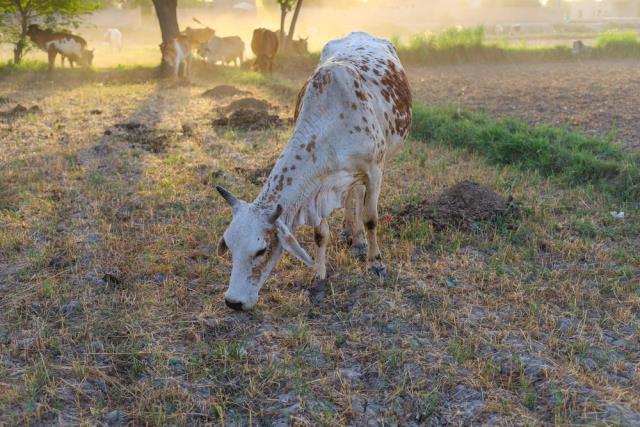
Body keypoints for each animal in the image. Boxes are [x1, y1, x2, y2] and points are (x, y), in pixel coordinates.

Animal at [218, 30, 412, 310]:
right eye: (230, 246)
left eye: (261, 250)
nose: (233, 301)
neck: (332, 122)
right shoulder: (319, 186)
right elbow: (320, 234)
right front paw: (319, 277)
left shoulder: (375, 170)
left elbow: (371, 219)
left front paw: (376, 264)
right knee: (352, 196)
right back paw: (353, 235)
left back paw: (360, 241)